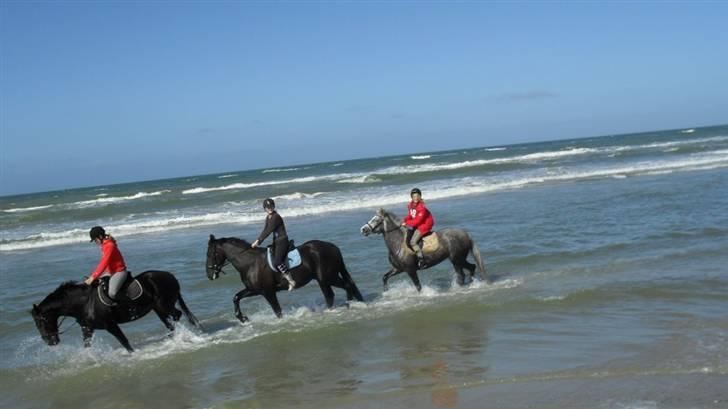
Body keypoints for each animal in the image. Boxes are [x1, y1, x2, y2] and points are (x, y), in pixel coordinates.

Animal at [30, 270, 200, 352]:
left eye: (40, 322)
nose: (50, 342)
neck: (84, 302)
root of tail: (171, 276)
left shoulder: (110, 325)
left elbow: (124, 342)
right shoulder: (87, 328)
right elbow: (86, 345)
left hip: (164, 305)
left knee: (176, 315)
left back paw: (180, 336)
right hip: (158, 309)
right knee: (169, 322)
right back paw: (173, 338)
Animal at [205, 234, 364, 324]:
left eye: (210, 254)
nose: (209, 274)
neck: (250, 262)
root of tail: (333, 247)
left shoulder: (268, 292)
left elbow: (277, 311)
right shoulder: (254, 290)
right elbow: (236, 297)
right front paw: (243, 318)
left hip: (326, 278)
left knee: (341, 288)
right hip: (326, 279)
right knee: (342, 288)